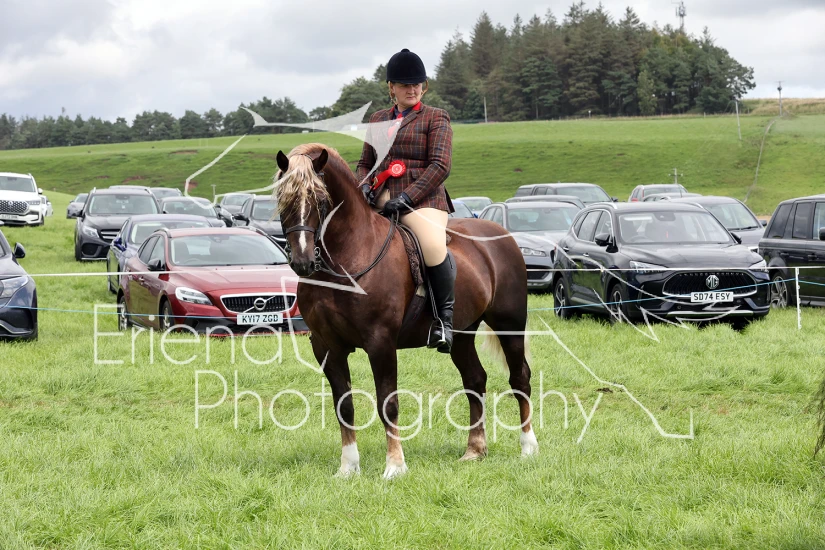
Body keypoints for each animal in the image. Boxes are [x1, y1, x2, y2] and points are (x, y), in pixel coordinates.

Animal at [274, 144, 537, 479]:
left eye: (321, 200)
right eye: (282, 199)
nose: (303, 262)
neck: (348, 256)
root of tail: (502, 236)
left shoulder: (380, 342)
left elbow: (388, 403)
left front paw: (395, 466)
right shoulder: (326, 346)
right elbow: (344, 405)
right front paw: (348, 467)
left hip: (509, 324)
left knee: (520, 378)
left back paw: (528, 447)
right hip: (462, 333)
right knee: (475, 380)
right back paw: (475, 450)